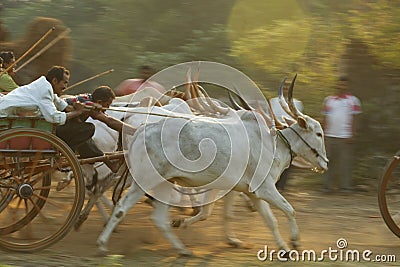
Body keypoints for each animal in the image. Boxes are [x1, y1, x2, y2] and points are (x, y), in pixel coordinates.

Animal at [96, 76, 328, 256]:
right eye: (318, 133)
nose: (325, 163)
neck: (273, 144)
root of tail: (141, 130)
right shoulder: (265, 189)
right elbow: (290, 210)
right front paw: (295, 242)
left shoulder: (250, 191)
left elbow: (269, 220)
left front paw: (283, 248)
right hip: (145, 180)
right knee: (120, 207)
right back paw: (102, 244)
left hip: (164, 183)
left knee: (158, 219)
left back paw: (182, 249)